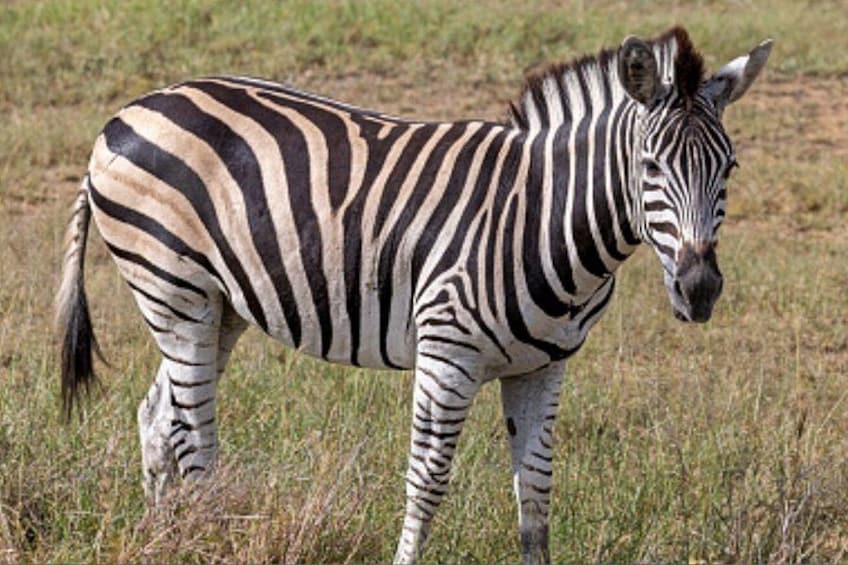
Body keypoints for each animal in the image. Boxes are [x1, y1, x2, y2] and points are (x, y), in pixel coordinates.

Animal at [56, 27, 771, 564]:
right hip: (175, 291)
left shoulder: (544, 366)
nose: (700, 291)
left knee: (158, 418)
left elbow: (536, 493)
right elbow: (426, 483)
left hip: (216, 307)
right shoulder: (447, 354)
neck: (542, 216)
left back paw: (164, 539)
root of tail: (127, 111)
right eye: (650, 166)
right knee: (195, 440)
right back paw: (204, 537)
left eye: (730, 167)